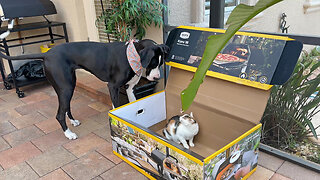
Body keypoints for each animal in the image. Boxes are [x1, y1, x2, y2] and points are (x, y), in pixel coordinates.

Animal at [0, 39, 170, 139]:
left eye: (160, 63)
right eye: (153, 62)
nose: (156, 78)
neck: (131, 54)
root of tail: (46, 54)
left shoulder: (129, 88)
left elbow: (133, 104)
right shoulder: (113, 87)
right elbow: (116, 106)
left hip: (67, 86)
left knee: (66, 107)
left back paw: (73, 121)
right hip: (66, 88)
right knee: (59, 114)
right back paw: (68, 134)